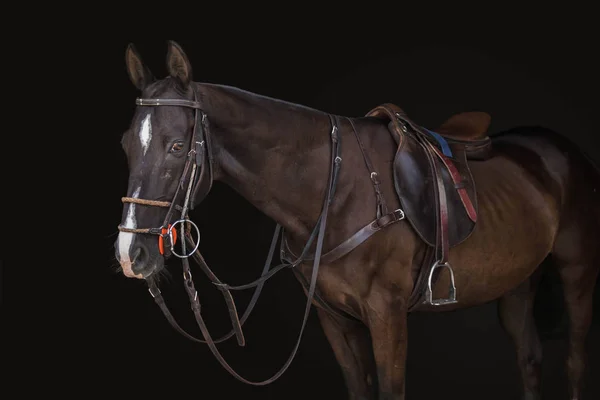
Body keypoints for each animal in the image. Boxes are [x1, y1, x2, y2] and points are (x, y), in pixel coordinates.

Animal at [115, 41, 596, 400]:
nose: (130, 253)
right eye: (125, 144)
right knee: (530, 357)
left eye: (178, 147)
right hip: (517, 282)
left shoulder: (387, 316)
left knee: (575, 360)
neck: (334, 192)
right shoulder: (335, 320)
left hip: (575, 273)